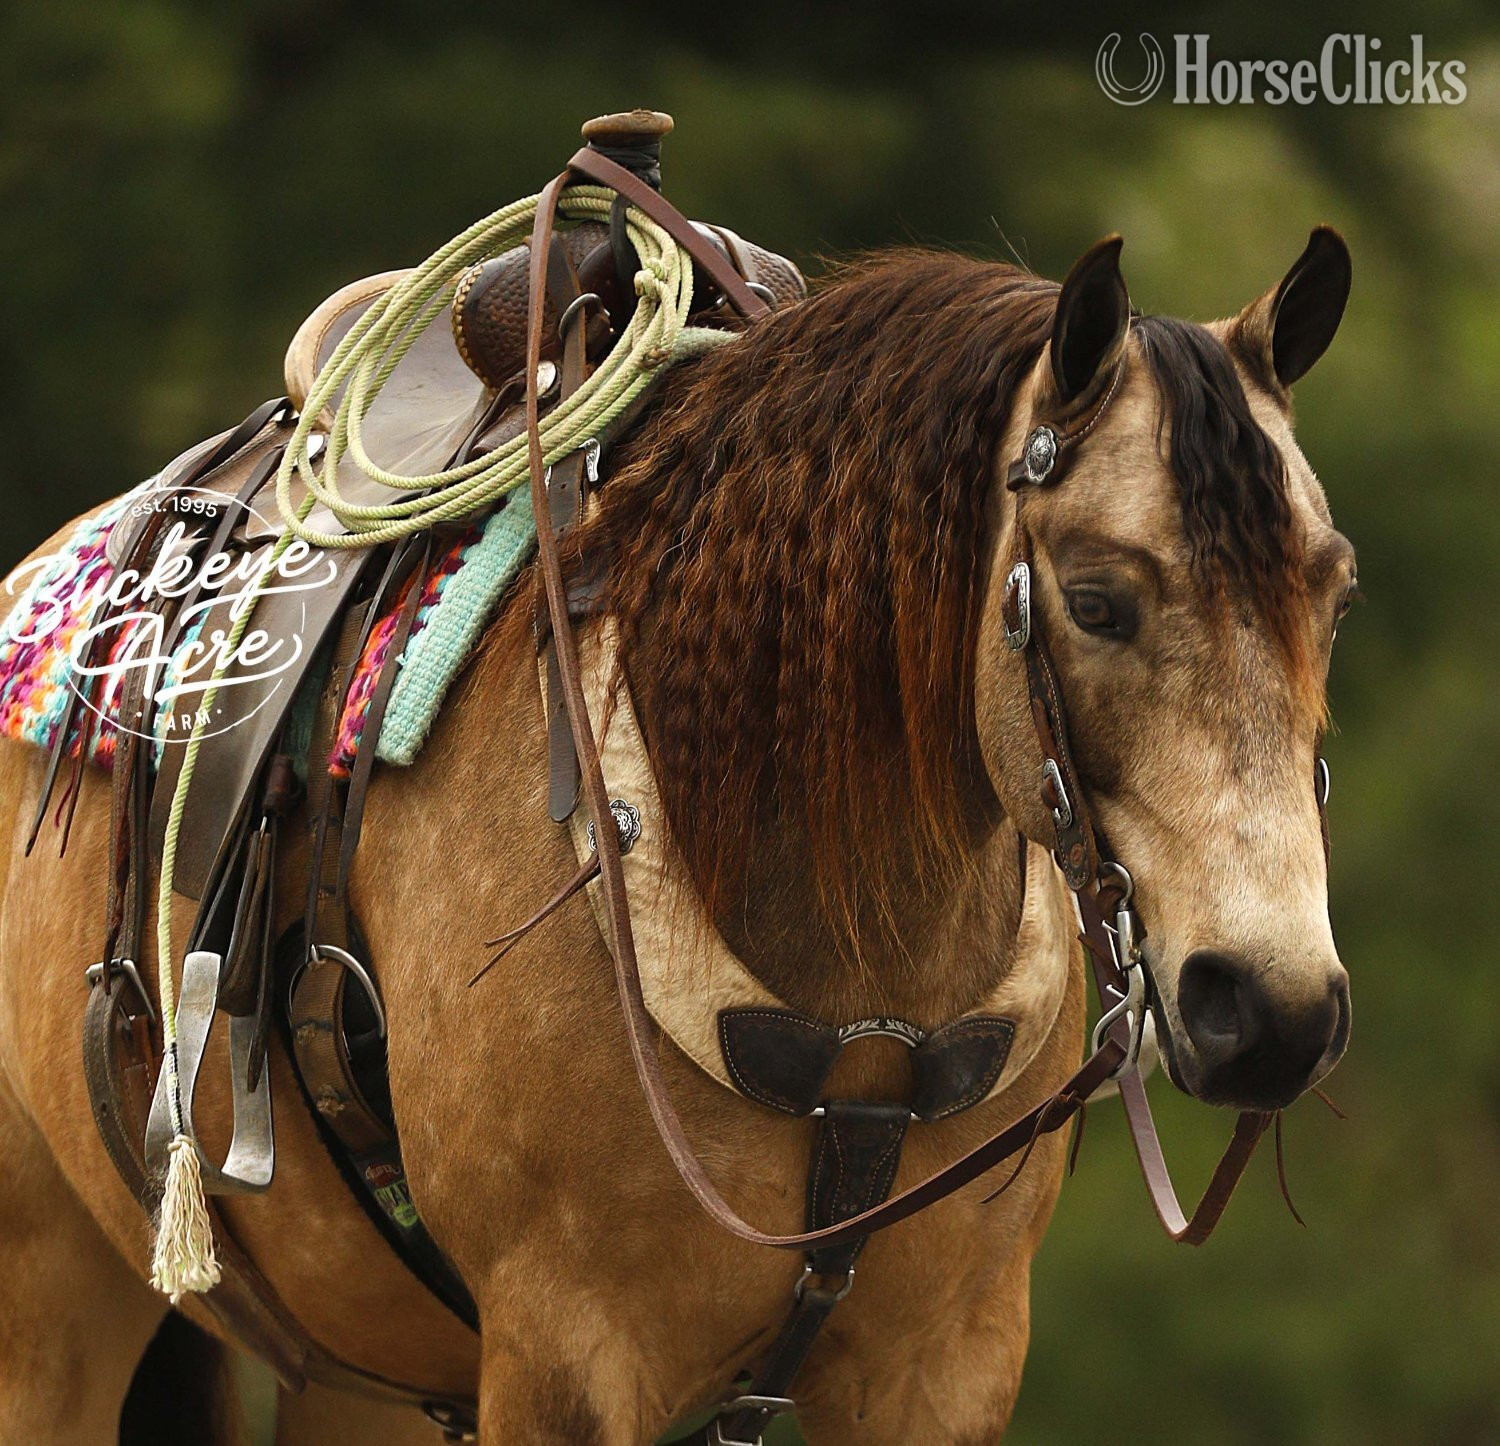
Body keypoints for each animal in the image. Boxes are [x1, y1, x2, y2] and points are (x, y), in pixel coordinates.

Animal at [0, 225, 1356, 1444]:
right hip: (52, 1312)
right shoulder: (567, 1358)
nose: (1270, 1008)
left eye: (1332, 593)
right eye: (1095, 601)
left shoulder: (945, 1367)